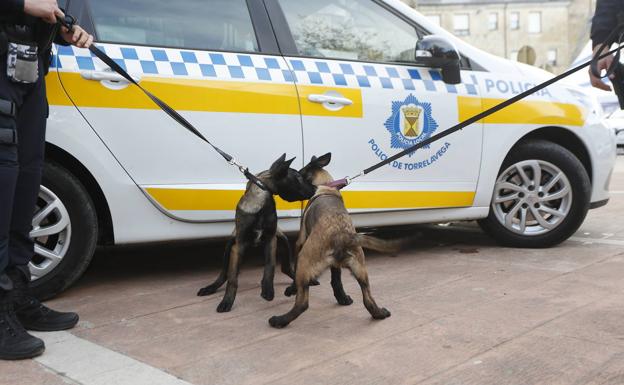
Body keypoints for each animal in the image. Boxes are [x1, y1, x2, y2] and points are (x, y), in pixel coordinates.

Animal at [270, 153, 394, 328]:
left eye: (299, 176)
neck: (327, 187)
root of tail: (341, 235)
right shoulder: (336, 265)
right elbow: (336, 279)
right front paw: (341, 297)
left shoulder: (300, 242)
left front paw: (292, 289)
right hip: (361, 270)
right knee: (368, 300)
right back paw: (380, 313)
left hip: (304, 261)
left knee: (302, 303)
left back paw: (280, 319)